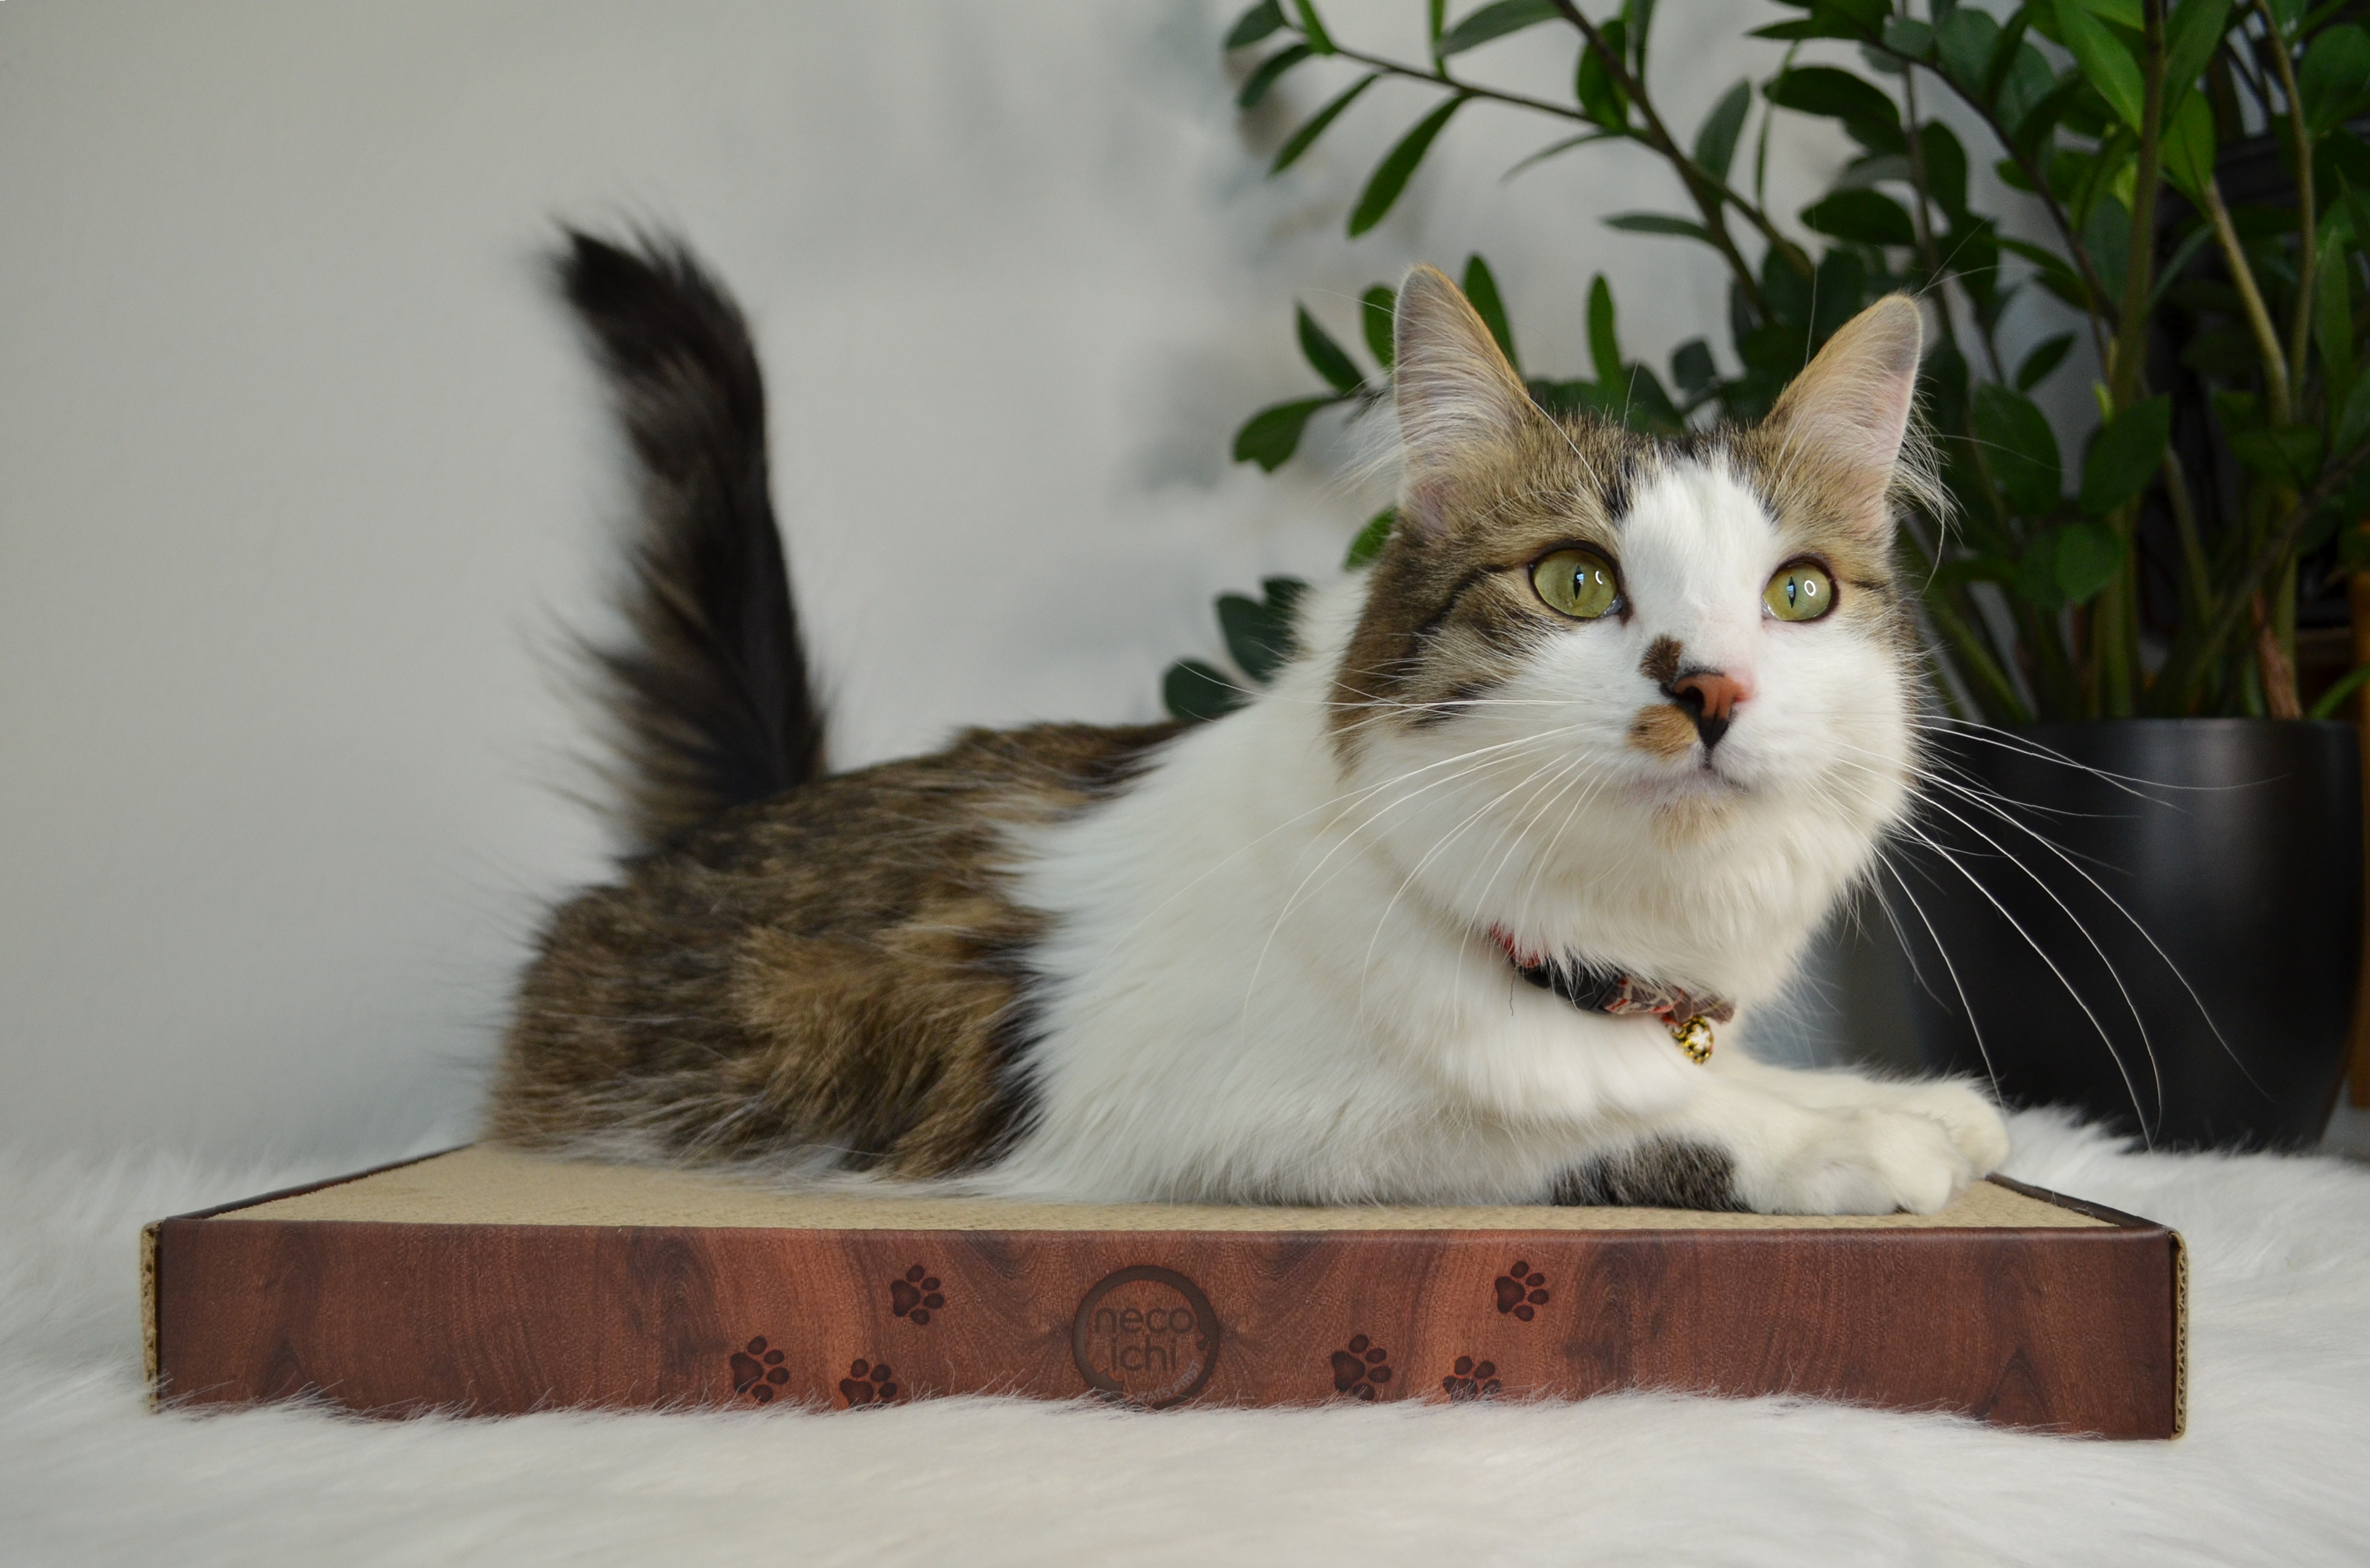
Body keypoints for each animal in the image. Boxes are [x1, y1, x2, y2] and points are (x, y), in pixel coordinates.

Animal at [490, 231, 2009, 1212]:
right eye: (1575, 581)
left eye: (1796, 594)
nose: (1709, 687)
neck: (1584, 951)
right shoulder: (1237, 1123)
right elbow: (1614, 1125)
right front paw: (1849, 1146)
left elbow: (1741, 1077)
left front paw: (1900, 1102)